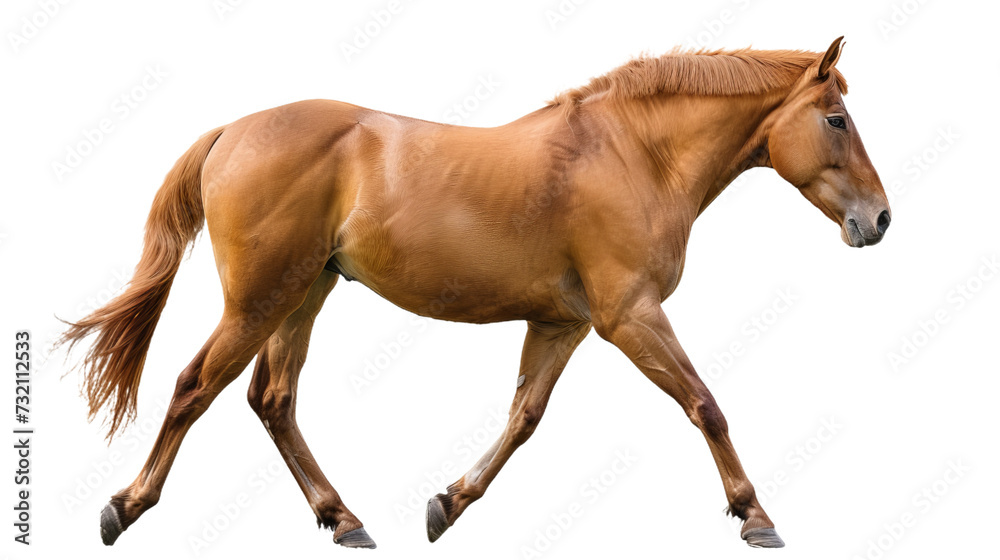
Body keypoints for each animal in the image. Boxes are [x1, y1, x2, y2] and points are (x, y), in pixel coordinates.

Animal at [60, 36, 890, 550]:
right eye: (836, 119)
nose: (879, 220)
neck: (631, 155)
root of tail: (232, 131)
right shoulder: (630, 316)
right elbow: (704, 403)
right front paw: (755, 517)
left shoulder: (563, 325)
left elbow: (524, 418)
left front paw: (447, 504)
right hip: (260, 301)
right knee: (194, 385)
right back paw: (124, 507)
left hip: (302, 296)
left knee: (272, 399)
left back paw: (345, 519)